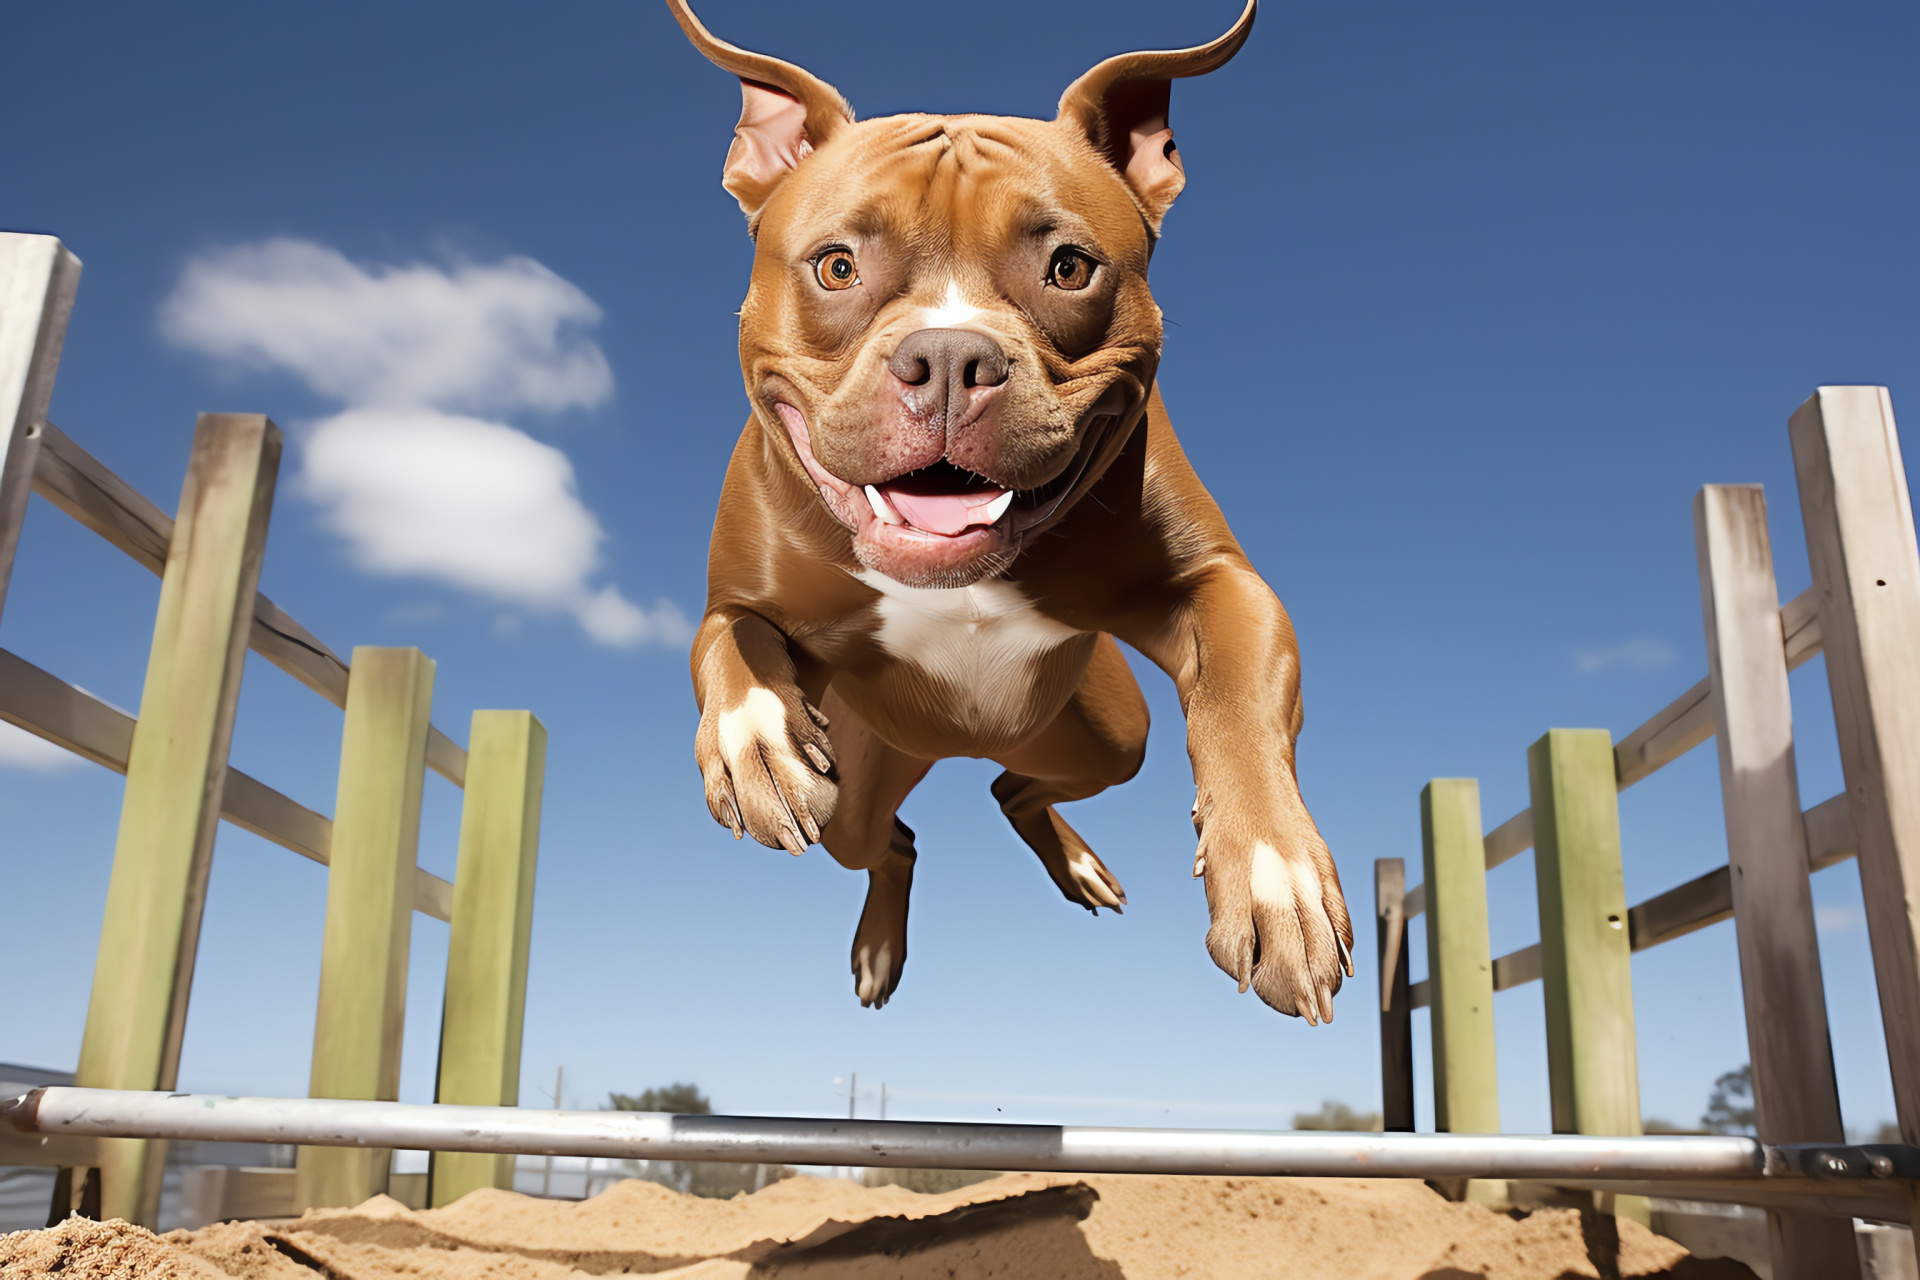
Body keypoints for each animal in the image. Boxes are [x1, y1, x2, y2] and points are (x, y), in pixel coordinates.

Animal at [672, 0, 1351, 1020]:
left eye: (1069, 268)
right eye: (836, 267)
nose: (951, 357)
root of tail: (945, 749)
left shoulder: (1221, 585)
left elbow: (1239, 701)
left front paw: (1277, 877)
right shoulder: (742, 603)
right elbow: (729, 639)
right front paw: (758, 739)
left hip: (1109, 735)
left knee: (1013, 789)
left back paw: (1075, 864)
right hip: (861, 795)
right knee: (893, 836)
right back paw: (881, 941)